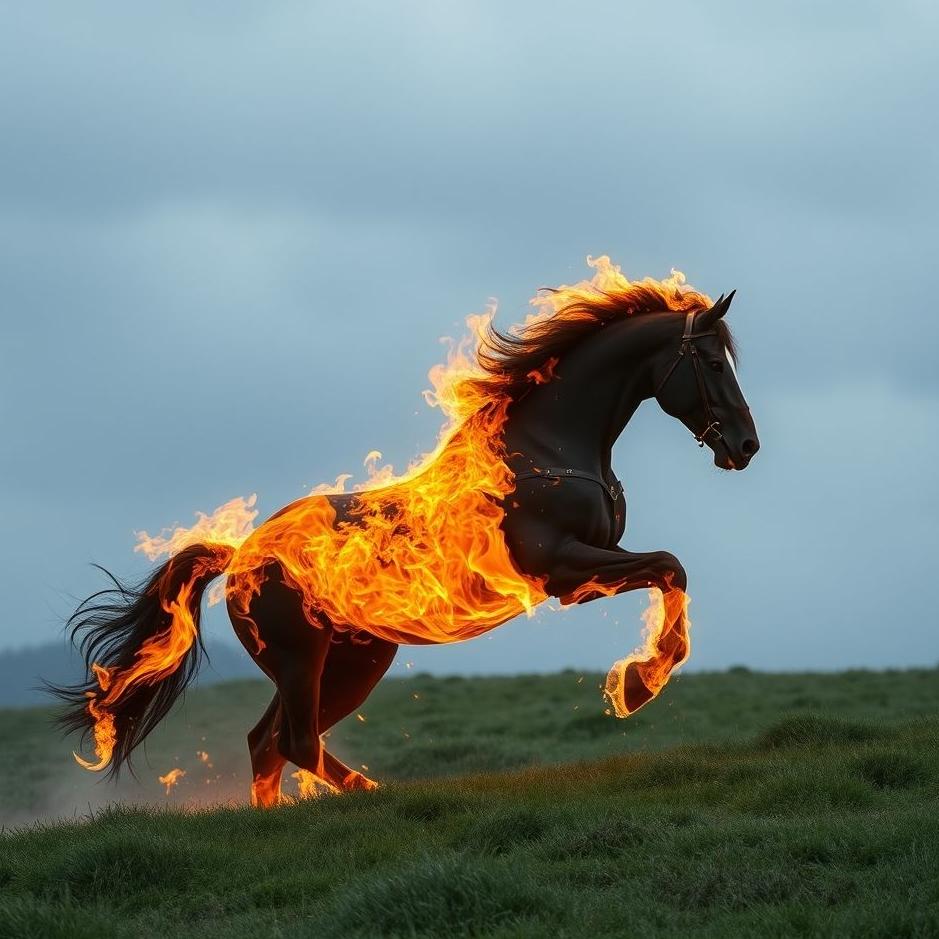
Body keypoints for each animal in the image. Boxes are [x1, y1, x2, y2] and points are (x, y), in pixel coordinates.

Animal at [53, 259, 759, 806]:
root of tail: (241, 556)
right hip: (302, 658)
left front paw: (637, 681)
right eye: (712, 361)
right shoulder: (562, 569)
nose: (746, 445)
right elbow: (669, 564)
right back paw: (372, 794)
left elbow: (669, 569)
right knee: (293, 742)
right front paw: (638, 686)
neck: (546, 450)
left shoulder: (594, 561)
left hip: (352, 662)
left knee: (269, 743)